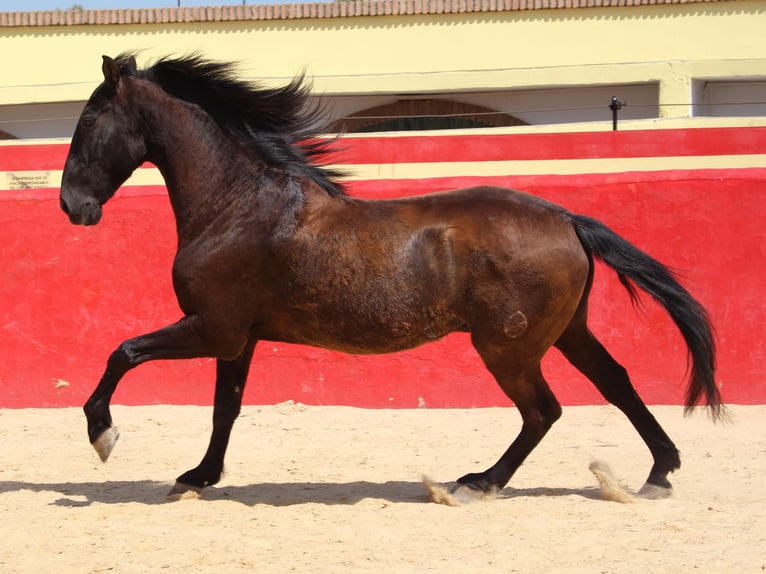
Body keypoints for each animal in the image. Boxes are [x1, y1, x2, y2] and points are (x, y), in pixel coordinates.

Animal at [60, 55, 728, 504]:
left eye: (90, 118)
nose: (72, 206)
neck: (238, 204)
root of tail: (568, 218)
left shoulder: (212, 328)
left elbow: (123, 352)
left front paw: (103, 435)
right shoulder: (237, 338)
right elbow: (225, 408)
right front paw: (198, 478)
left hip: (508, 346)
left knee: (544, 411)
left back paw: (476, 483)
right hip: (566, 332)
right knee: (616, 383)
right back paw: (658, 474)